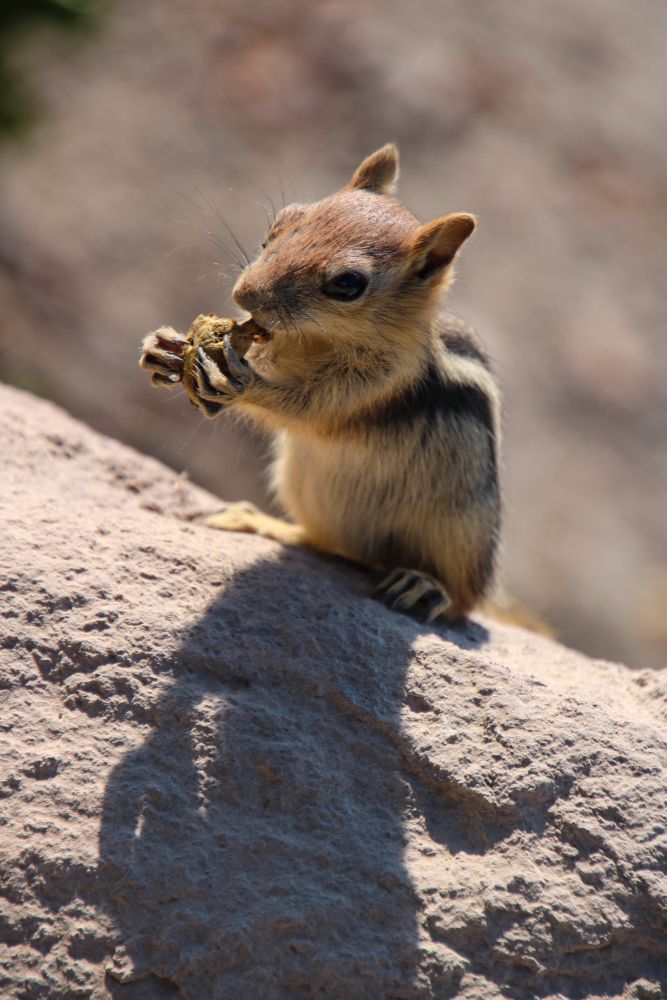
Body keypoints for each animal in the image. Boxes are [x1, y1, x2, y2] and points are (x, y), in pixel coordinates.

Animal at [141, 145, 501, 623]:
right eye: (280, 225)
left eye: (347, 284)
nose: (243, 295)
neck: (319, 339)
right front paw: (164, 347)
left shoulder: (378, 381)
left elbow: (309, 409)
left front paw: (240, 383)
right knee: (320, 542)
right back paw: (258, 521)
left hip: (462, 534)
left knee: (464, 600)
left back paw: (426, 586)